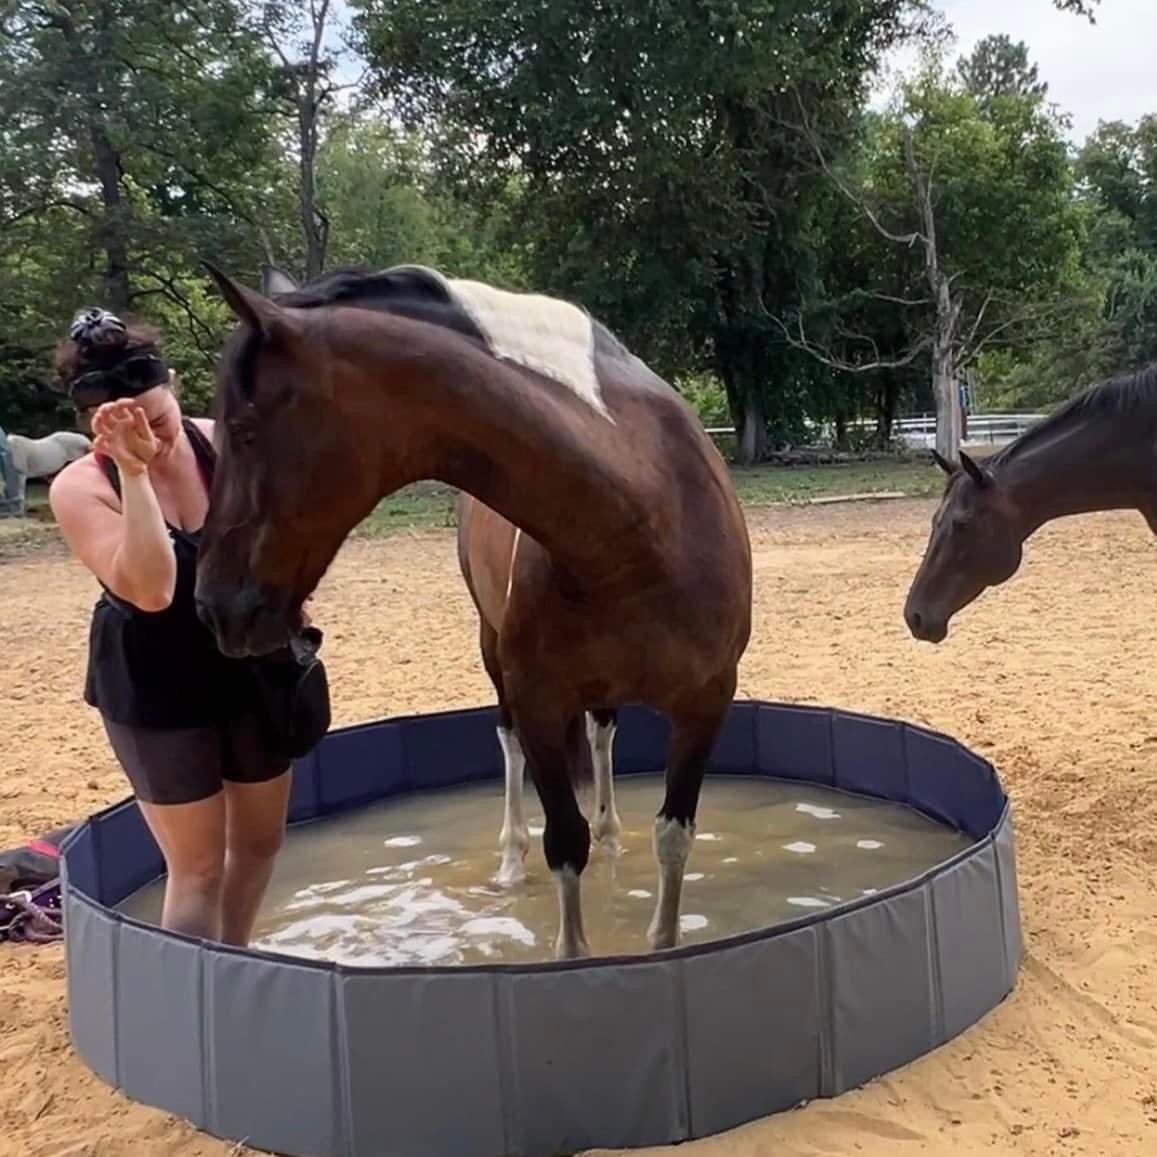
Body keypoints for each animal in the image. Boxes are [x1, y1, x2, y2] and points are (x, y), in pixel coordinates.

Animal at [194, 262, 754, 957]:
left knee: (602, 740)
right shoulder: (538, 702)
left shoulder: (708, 701)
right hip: (494, 656)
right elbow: (562, 843)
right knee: (509, 745)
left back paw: (611, 836)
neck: (642, 519)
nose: (213, 607)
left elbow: (673, 838)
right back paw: (511, 861)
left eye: (244, 430)